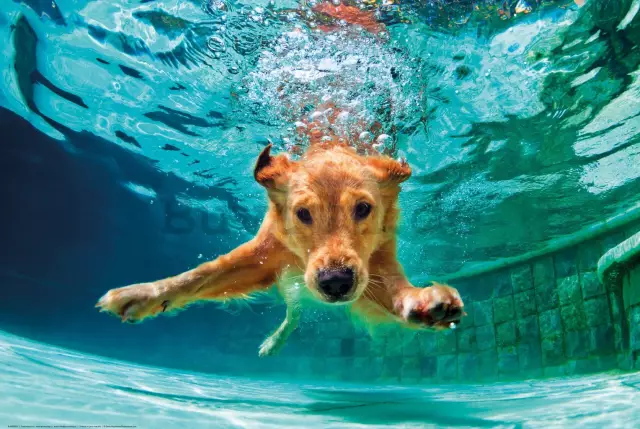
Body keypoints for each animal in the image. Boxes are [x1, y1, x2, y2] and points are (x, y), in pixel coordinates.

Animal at [95, 115, 464, 352]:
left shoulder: (377, 261)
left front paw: (425, 302)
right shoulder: (263, 255)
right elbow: (199, 275)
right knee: (293, 312)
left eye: (363, 209)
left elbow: (397, 290)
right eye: (302, 213)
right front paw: (143, 294)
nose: (335, 282)